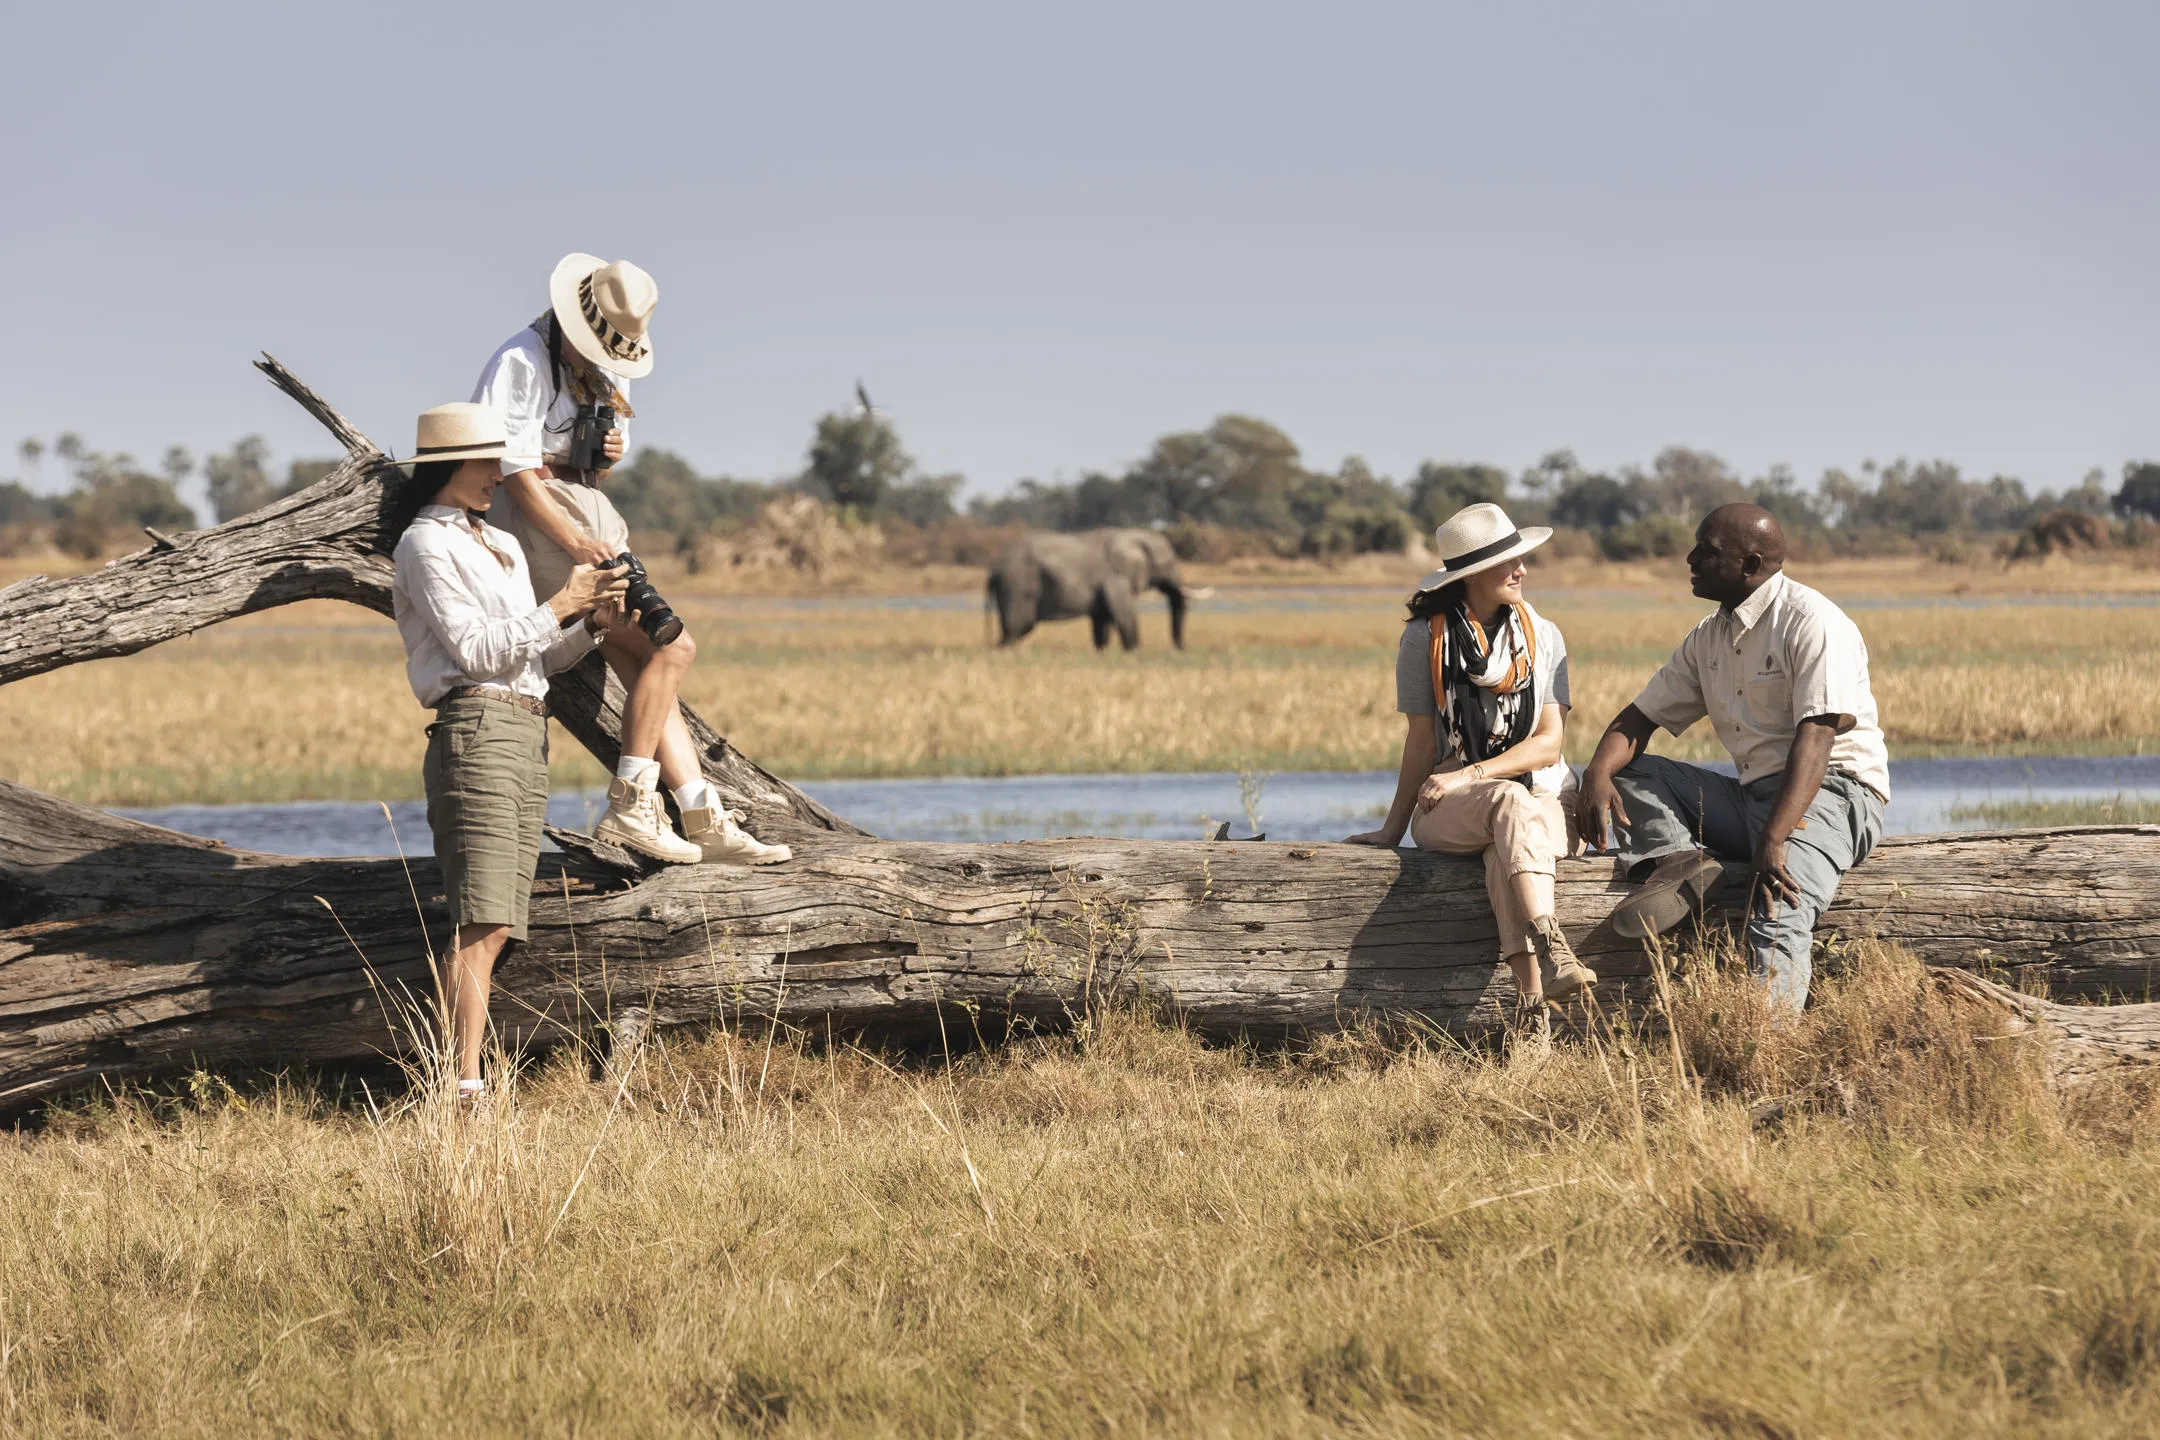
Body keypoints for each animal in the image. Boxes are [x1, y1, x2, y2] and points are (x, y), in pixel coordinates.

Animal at [985, 529, 1212, 650]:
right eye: (1169, 563)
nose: (1182, 649)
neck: (1132, 535)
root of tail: (994, 570)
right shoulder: (1115, 577)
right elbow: (1125, 614)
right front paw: (1133, 651)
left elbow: (1101, 622)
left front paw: (1103, 651)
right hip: (1016, 587)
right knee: (1016, 628)